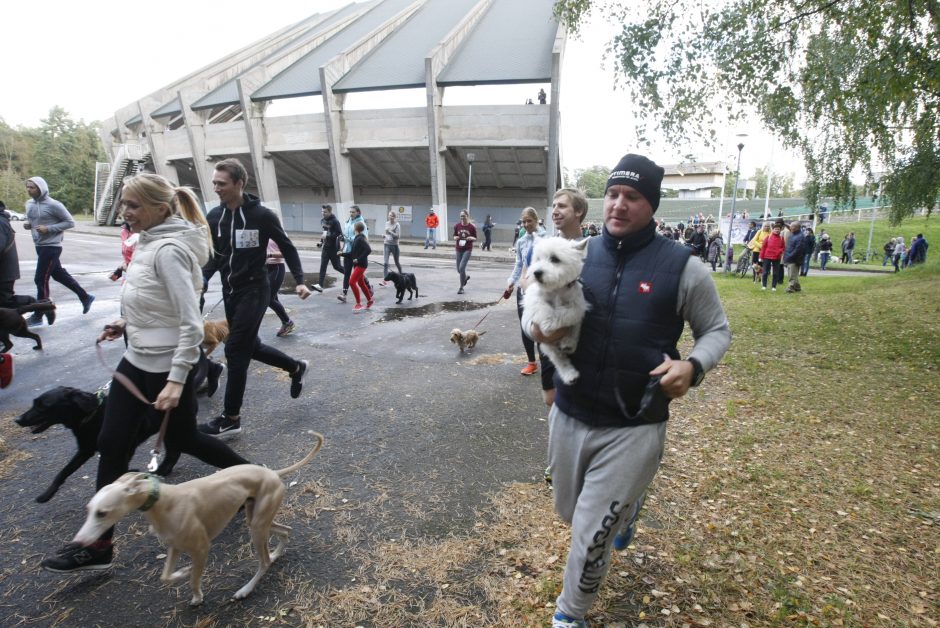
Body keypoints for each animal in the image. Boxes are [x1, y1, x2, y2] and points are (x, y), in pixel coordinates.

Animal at [15, 386, 180, 502]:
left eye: (42, 406)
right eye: (35, 403)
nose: (17, 419)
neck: (93, 415)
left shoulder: (124, 448)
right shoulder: (85, 450)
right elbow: (64, 471)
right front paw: (47, 493)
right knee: (174, 451)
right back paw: (162, 470)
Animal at [71, 432, 324, 604]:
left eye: (102, 513)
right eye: (89, 509)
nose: (78, 542)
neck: (165, 501)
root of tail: (272, 472)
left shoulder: (202, 548)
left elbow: (194, 577)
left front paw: (195, 591)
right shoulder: (174, 546)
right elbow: (165, 576)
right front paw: (182, 575)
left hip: (258, 526)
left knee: (264, 562)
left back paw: (245, 589)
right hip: (257, 519)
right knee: (285, 531)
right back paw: (276, 553)